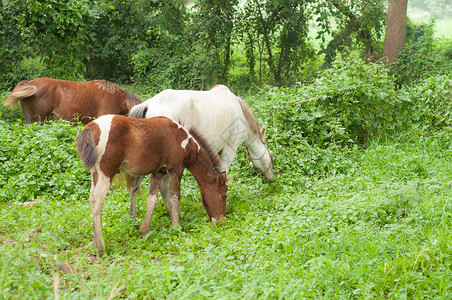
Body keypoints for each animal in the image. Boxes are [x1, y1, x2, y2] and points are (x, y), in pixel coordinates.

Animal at [76, 114, 230, 255]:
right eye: (223, 196)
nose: (221, 221)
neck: (186, 143)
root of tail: (91, 127)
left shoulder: (158, 172)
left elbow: (152, 199)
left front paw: (145, 230)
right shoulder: (175, 170)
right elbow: (175, 197)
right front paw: (176, 226)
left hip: (95, 173)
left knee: (92, 198)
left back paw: (95, 241)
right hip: (106, 172)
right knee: (98, 200)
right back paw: (101, 246)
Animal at [127, 84, 276, 218]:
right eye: (271, 156)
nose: (272, 177)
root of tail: (149, 104)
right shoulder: (230, 149)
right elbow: (223, 173)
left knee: (135, 185)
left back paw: (133, 218)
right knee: (162, 187)